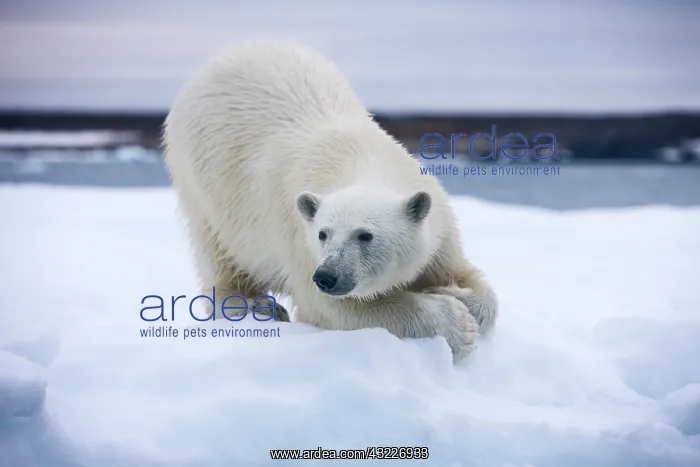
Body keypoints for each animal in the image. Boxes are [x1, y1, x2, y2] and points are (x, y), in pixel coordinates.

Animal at [162, 42, 498, 359]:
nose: (327, 276)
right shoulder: (298, 239)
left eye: (365, 235)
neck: (363, 161)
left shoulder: (439, 224)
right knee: (217, 252)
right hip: (203, 180)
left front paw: (453, 291)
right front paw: (458, 324)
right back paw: (255, 306)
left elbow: (464, 275)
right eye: (323, 234)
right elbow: (336, 308)